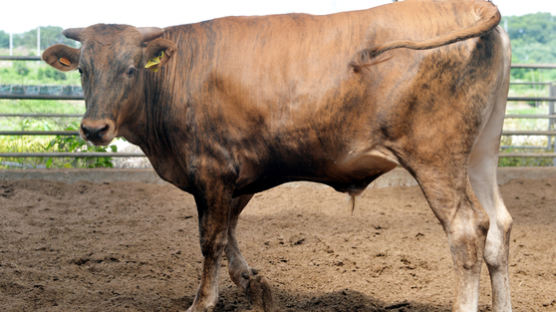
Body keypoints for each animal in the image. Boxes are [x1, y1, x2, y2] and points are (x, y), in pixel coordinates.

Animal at [43, 0, 512, 310]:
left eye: (131, 68)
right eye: (83, 70)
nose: (94, 128)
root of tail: (471, 5)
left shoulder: (212, 171)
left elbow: (211, 239)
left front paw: (204, 300)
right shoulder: (239, 176)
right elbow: (229, 230)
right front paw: (253, 283)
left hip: (436, 158)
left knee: (467, 231)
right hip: (481, 152)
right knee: (499, 226)